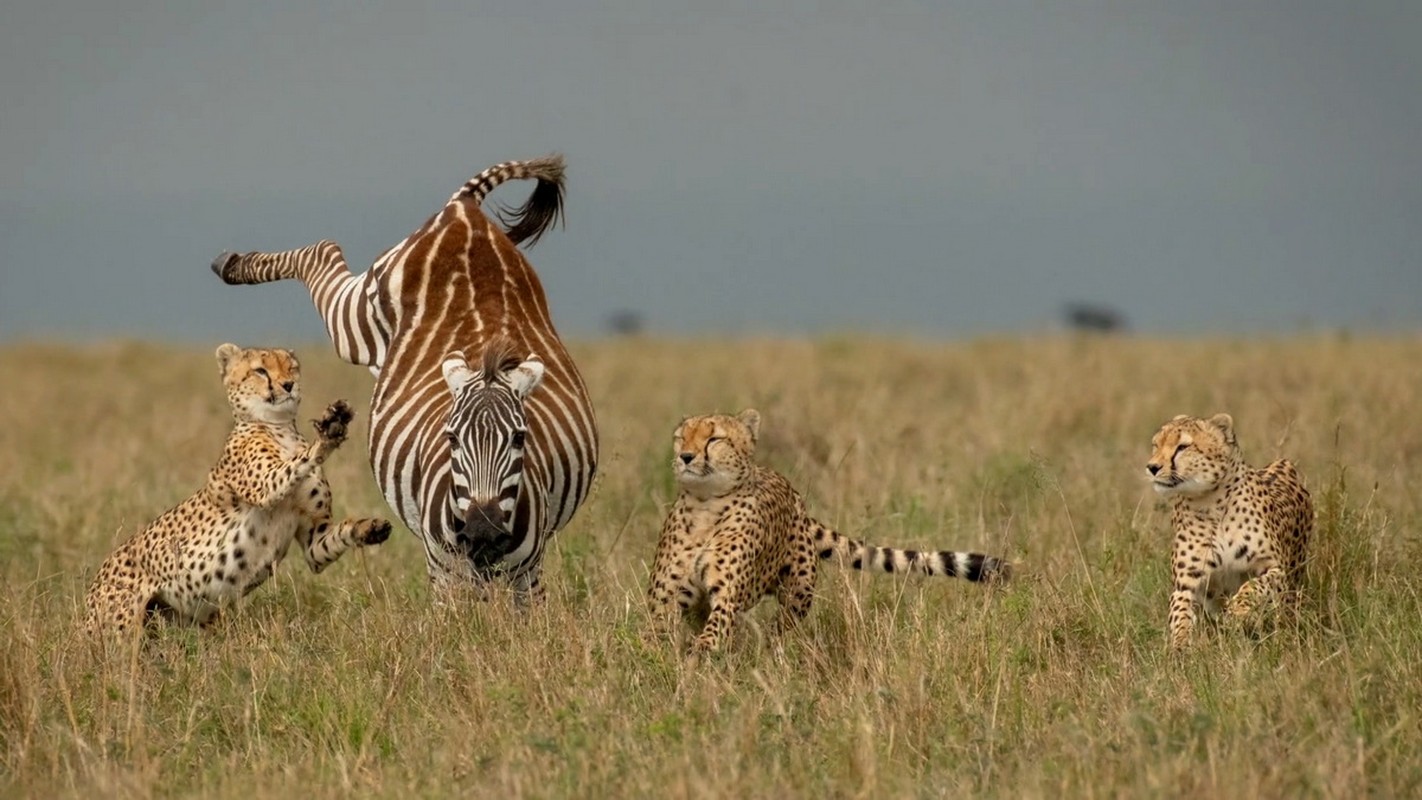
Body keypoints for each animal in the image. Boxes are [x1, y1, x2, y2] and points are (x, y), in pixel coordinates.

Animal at [85, 342, 392, 639]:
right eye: (260, 371)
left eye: (291, 367)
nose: (288, 385)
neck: (279, 427)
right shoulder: (267, 486)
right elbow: (296, 462)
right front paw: (329, 431)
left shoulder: (314, 543)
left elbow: (337, 535)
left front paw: (370, 527)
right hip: (124, 632)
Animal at [207, 154, 597, 602]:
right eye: (452, 438)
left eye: (520, 438)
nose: (482, 533)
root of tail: (464, 213)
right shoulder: (443, 572)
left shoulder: (528, 575)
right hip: (357, 321)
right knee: (322, 252)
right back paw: (232, 264)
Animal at [645, 409, 1012, 653]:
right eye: (681, 436)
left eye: (715, 438)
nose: (685, 456)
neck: (705, 506)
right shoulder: (665, 598)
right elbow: (655, 635)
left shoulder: (727, 596)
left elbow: (713, 633)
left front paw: (698, 658)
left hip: (798, 594)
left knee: (782, 628)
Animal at [1143, 412, 1308, 650]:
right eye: (1156, 445)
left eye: (1183, 446)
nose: (1152, 467)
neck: (1212, 502)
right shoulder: (1186, 584)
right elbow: (1180, 612)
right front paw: (1181, 645)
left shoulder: (1277, 570)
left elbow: (1254, 586)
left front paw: (1239, 610)